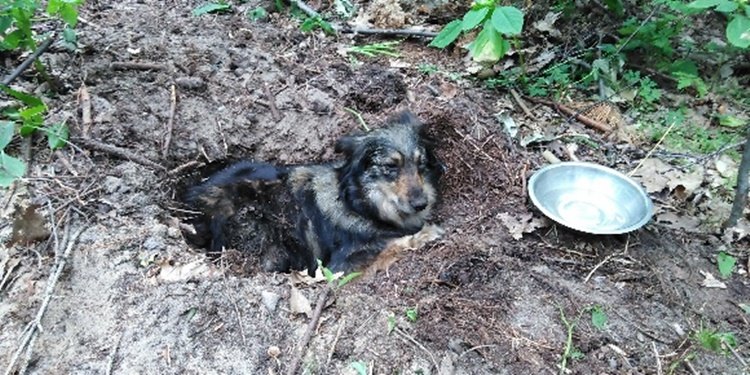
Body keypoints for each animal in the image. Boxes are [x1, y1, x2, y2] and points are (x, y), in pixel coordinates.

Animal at [184, 110, 444, 274]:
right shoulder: (341, 264)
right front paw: (426, 234)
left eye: (420, 163)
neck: (357, 203)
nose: (421, 203)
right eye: (391, 166)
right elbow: (391, 244)